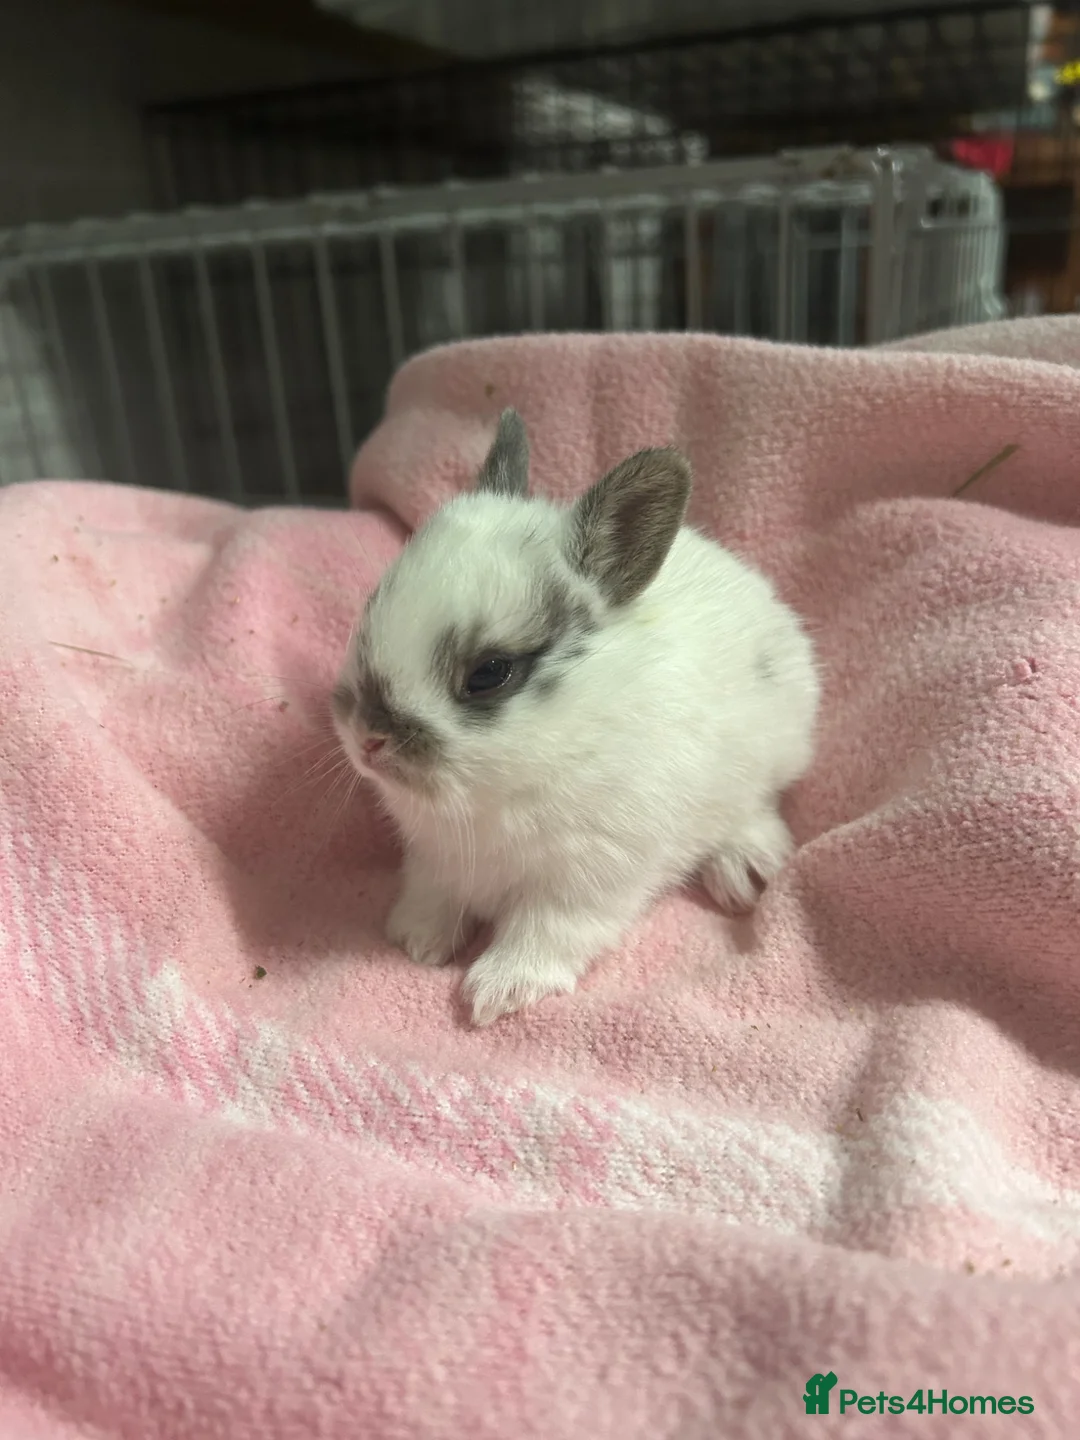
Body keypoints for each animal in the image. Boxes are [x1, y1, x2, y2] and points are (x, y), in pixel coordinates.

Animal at [331, 408, 820, 1026]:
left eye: (489, 673)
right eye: (371, 610)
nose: (367, 739)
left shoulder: (585, 880)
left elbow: (545, 934)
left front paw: (497, 992)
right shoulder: (434, 859)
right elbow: (435, 895)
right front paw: (416, 942)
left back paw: (745, 869)